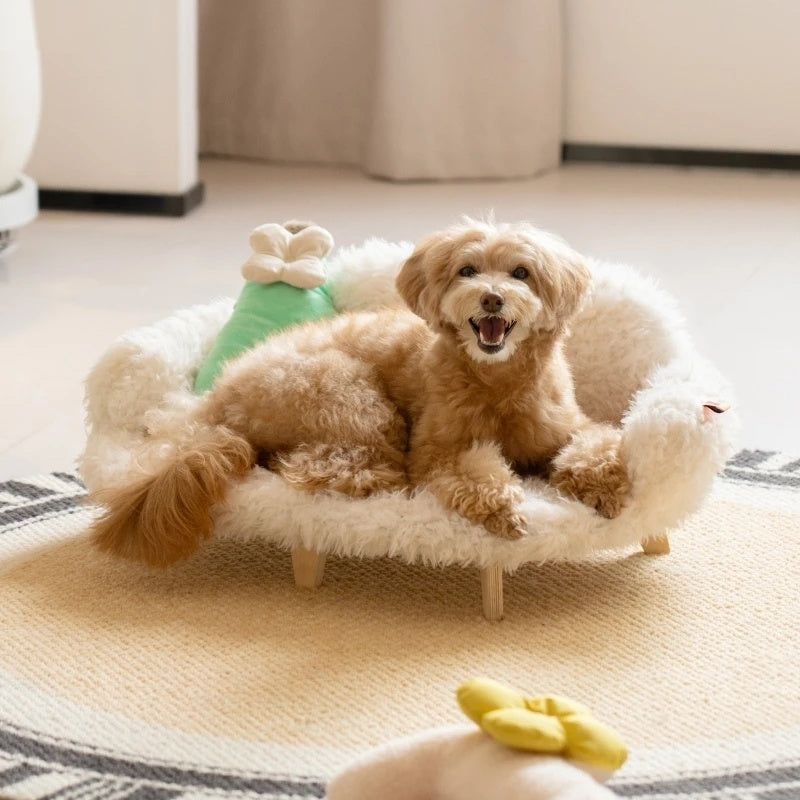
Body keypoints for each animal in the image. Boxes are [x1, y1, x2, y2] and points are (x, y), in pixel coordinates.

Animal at [90, 220, 632, 568]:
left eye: (522, 273)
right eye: (467, 270)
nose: (491, 298)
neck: (496, 381)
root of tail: (218, 409)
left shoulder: (565, 428)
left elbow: (596, 444)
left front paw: (605, 489)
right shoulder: (439, 450)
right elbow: (472, 471)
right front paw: (504, 509)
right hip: (350, 394)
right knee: (326, 467)